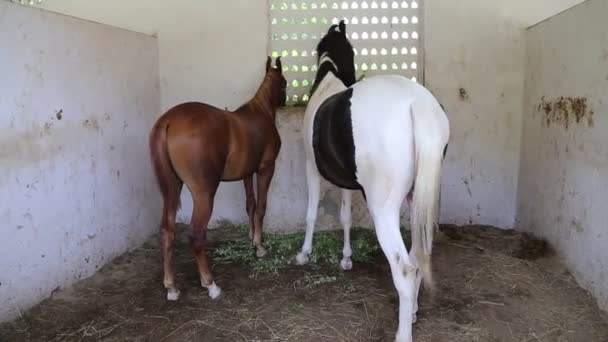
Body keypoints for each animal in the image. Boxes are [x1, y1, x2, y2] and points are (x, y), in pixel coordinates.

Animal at [150, 57, 288, 300]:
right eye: (285, 82)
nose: (285, 101)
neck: (260, 113)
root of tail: (168, 121)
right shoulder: (265, 169)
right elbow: (261, 206)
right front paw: (260, 246)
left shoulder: (247, 173)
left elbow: (250, 204)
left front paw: (251, 238)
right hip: (204, 192)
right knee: (196, 234)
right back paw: (210, 285)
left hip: (172, 188)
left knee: (167, 231)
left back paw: (171, 287)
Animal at [294, 22, 452, 342]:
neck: (329, 78)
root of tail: (418, 104)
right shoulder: (347, 181)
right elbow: (344, 216)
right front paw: (346, 258)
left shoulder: (311, 168)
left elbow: (312, 213)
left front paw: (304, 253)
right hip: (417, 200)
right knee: (418, 255)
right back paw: (412, 312)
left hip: (383, 209)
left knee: (404, 269)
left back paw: (403, 333)